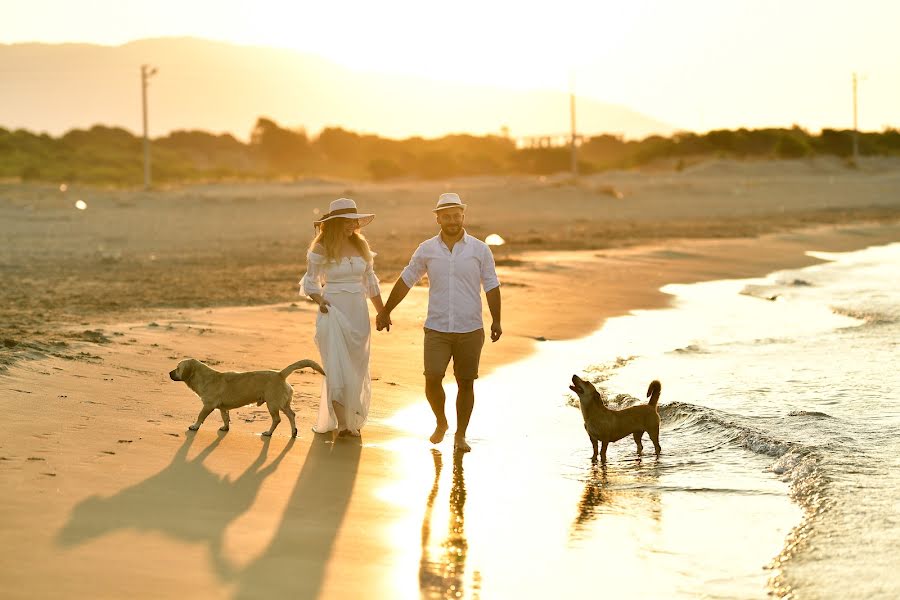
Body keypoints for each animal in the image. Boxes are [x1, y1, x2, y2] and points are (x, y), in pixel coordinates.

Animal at [169, 358, 324, 438]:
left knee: (277, 419)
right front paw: (225, 427)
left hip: (273, 404)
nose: (169, 372)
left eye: (177, 368)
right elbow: (225, 418)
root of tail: (280, 374)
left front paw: (194, 426)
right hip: (283, 404)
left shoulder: (208, 405)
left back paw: (269, 432)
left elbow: (200, 416)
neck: (204, 378)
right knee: (292, 415)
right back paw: (293, 432)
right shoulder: (222, 408)